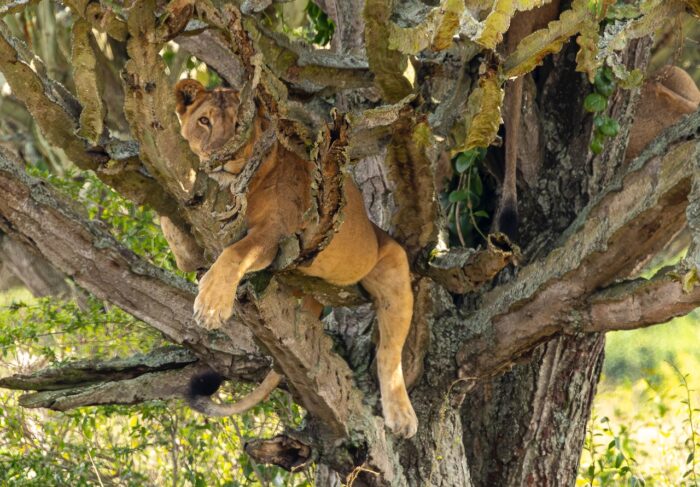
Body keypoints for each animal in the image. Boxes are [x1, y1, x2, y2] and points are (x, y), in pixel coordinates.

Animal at [166, 78, 418, 438]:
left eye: (242, 124)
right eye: (204, 121)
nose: (223, 156)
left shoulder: (276, 236)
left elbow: (235, 252)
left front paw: (211, 306)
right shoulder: (197, 241)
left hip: (393, 267)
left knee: (389, 354)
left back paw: (401, 416)